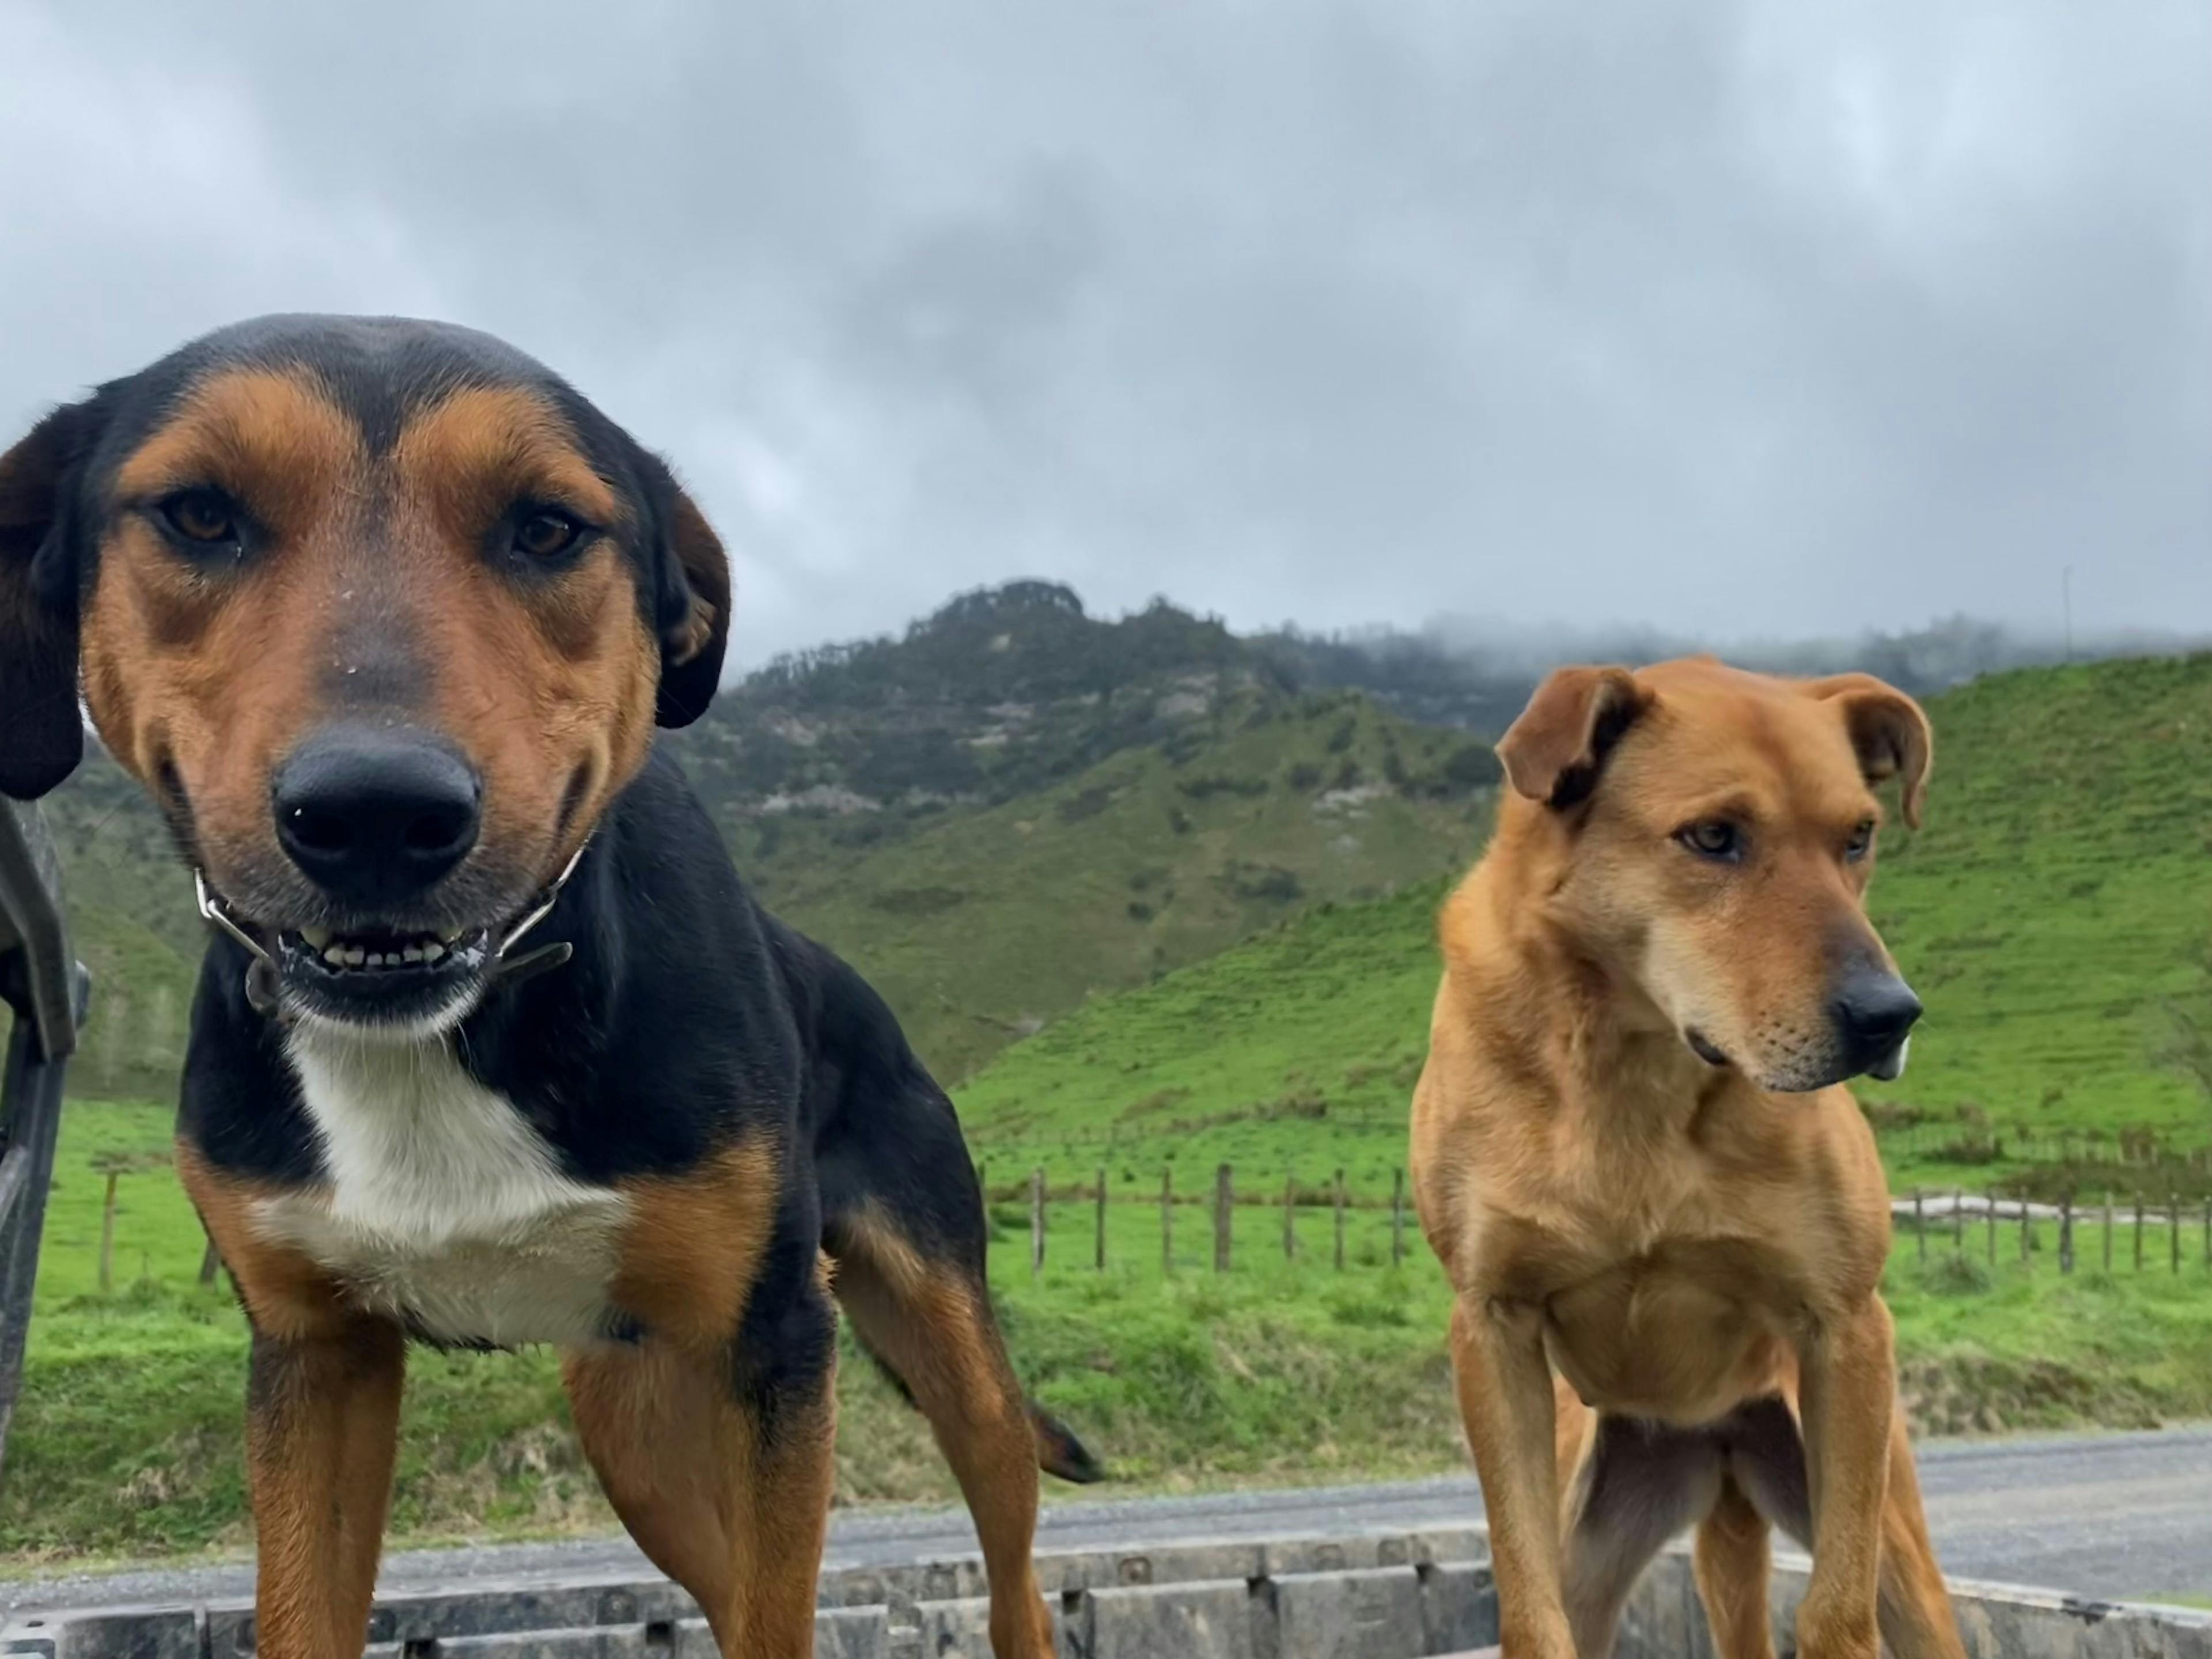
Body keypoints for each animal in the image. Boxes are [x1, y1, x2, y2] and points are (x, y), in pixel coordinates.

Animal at [0, 314, 1101, 1659]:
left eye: (547, 528)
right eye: (199, 514)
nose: (377, 814)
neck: (473, 1018)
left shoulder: (777, 1341)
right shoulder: (317, 1357)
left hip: (942, 1351)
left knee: (1007, 1549)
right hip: (638, 1427)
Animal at [1407, 659, 1964, 1659]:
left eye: (1858, 836)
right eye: (1712, 837)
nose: (1888, 1017)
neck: (1637, 1075)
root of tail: (1713, 1440)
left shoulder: (1846, 1328)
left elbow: (1835, 1616)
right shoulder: (1494, 1327)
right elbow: (1529, 1612)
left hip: (1887, 1531)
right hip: (1596, 1523)